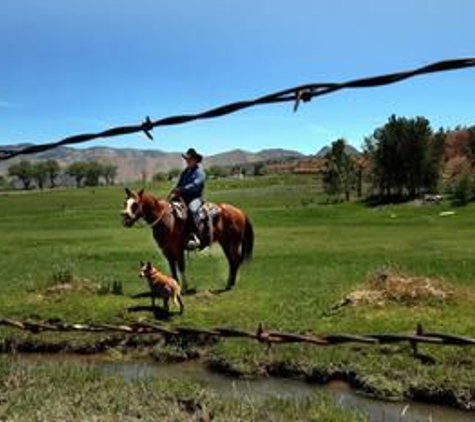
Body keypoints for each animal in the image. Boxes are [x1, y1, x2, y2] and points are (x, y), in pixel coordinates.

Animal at [123, 190, 256, 292]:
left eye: (135, 204)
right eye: (125, 202)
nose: (126, 219)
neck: (167, 220)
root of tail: (240, 212)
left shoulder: (178, 249)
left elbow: (181, 267)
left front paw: (184, 288)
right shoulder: (166, 251)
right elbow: (173, 268)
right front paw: (174, 285)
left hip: (233, 243)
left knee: (235, 260)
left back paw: (230, 285)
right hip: (226, 243)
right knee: (232, 261)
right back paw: (229, 284)